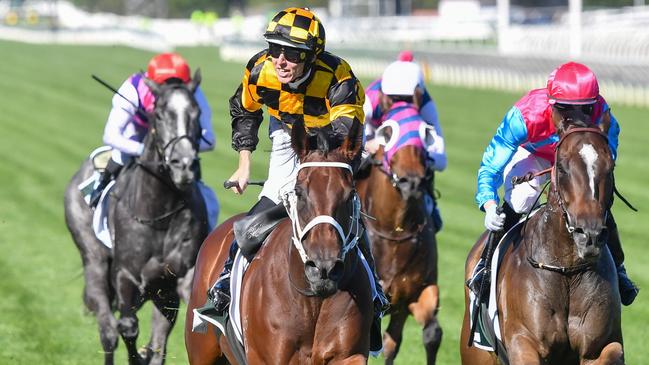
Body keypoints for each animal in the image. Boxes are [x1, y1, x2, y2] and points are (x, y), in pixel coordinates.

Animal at [63, 72, 208, 364]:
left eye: (196, 113)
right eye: (160, 115)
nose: (184, 165)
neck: (160, 214)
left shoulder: (178, 279)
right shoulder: (126, 275)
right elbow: (128, 327)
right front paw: (138, 355)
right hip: (93, 259)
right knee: (109, 331)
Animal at [185, 123, 372, 364]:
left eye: (350, 194)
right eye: (299, 192)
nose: (323, 267)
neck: (312, 299)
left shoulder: (349, 354)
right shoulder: (266, 356)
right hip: (202, 350)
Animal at [354, 118, 440, 362]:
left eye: (426, 134)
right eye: (388, 133)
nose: (411, 182)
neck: (394, 234)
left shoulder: (414, 294)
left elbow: (431, 333)